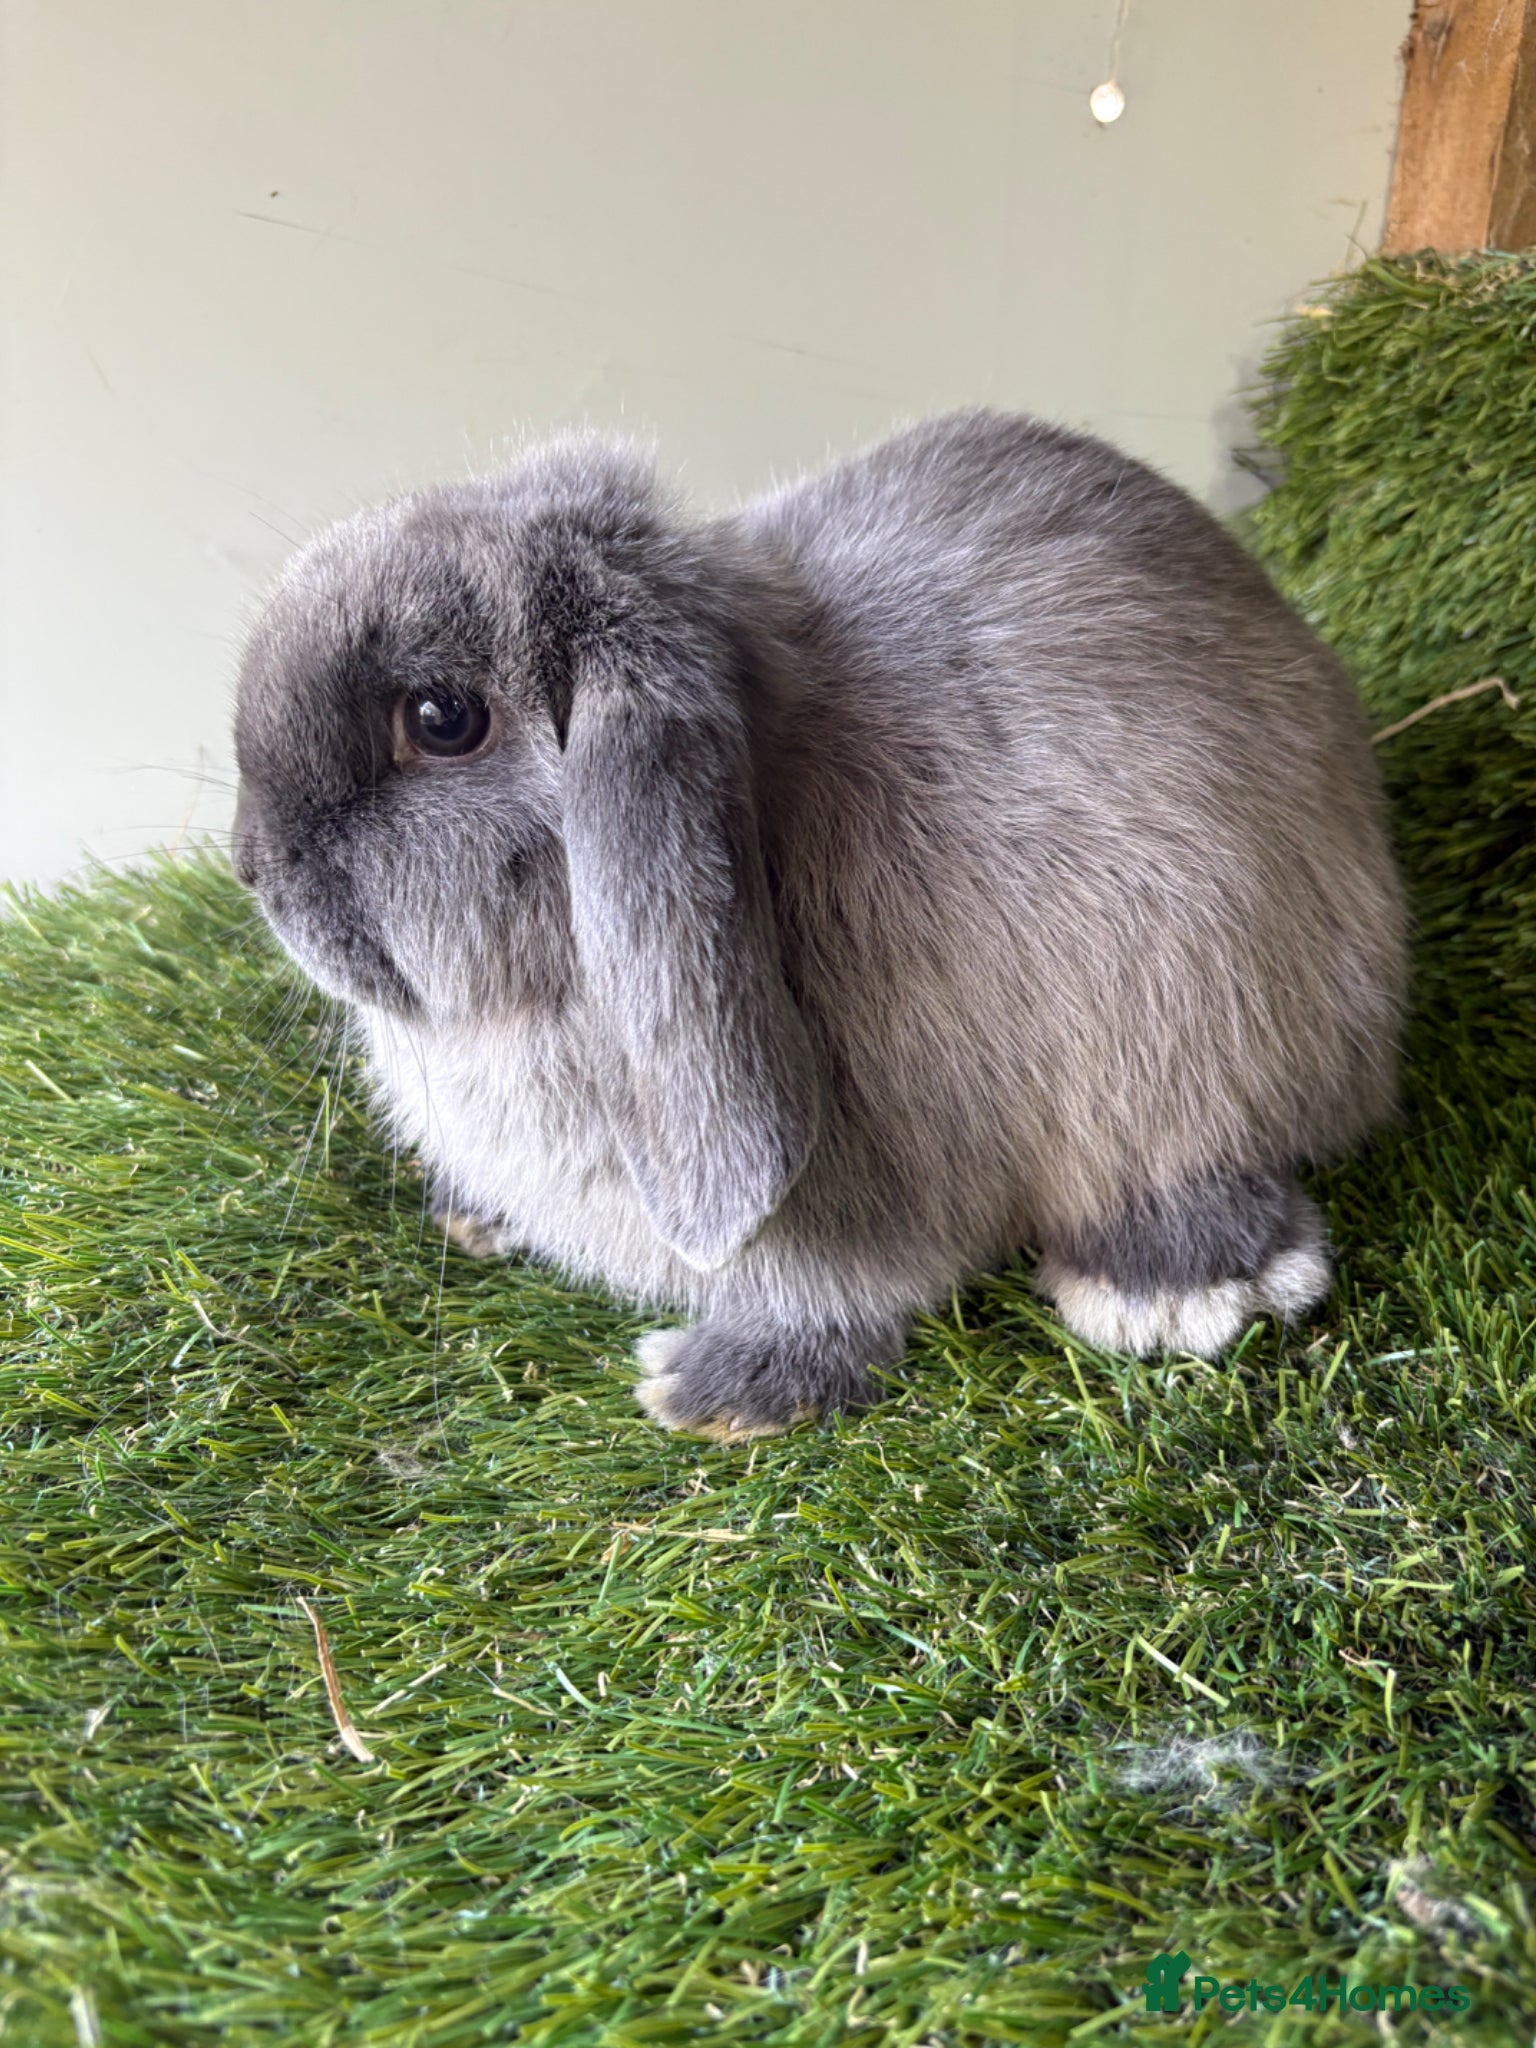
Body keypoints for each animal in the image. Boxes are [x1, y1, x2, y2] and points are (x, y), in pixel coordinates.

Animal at [232, 408, 1407, 1440]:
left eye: (442, 719)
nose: (252, 868)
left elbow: (835, 1300)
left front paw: (712, 1392)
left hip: (1197, 1034)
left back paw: (1170, 1284)